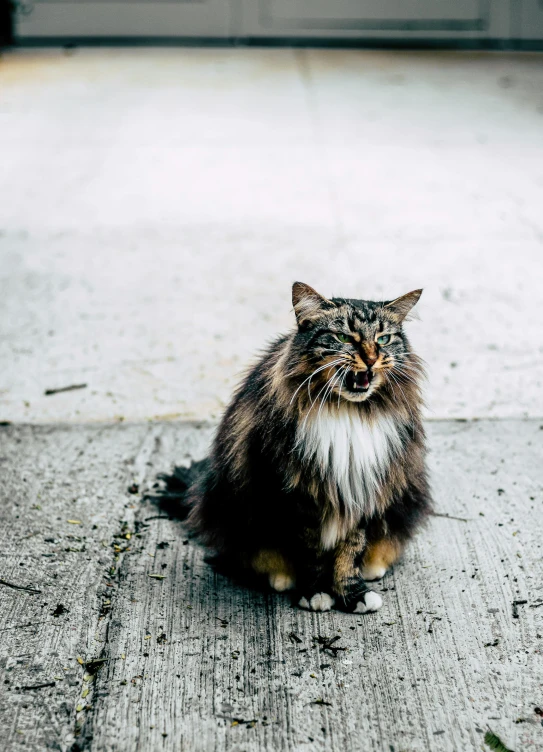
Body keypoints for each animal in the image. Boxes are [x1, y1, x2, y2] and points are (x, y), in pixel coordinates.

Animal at [157, 282, 434, 612]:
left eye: (383, 339)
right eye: (344, 337)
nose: (370, 358)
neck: (348, 412)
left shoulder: (361, 488)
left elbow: (349, 552)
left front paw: (352, 594)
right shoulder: (298, 495)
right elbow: (312, 554)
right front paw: (316, 592)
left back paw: (372, 568)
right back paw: (281, 578)